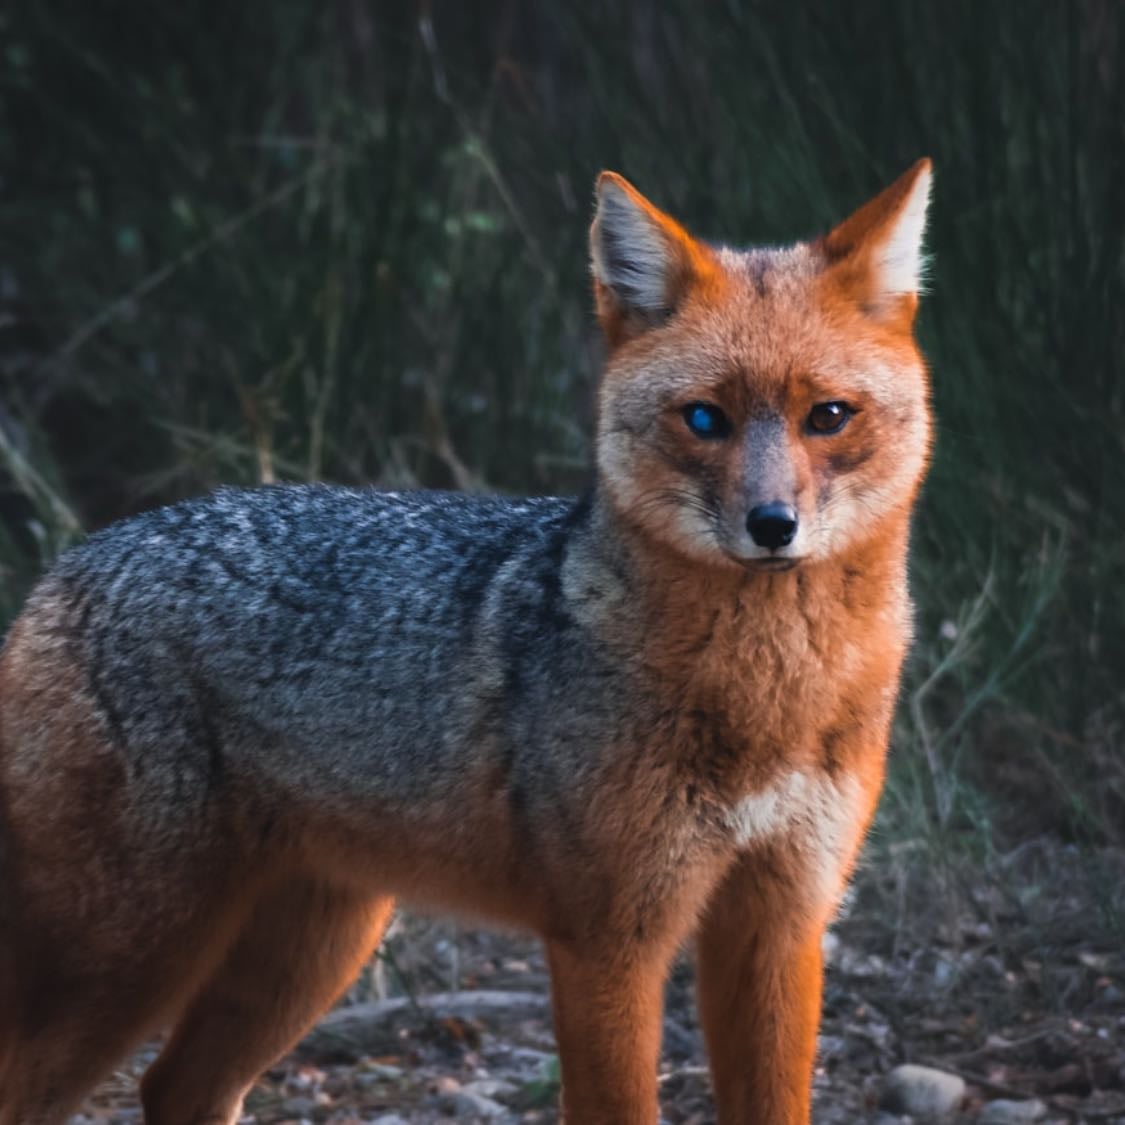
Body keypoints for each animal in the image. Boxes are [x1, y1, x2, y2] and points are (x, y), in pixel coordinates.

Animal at [0, 159, 933, 1125]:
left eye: (828, 416)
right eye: (705, 419)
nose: (771, 526)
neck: (765, 699)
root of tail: (66, 565)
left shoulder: (781, 924)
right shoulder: (608, 940)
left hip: (314, 946)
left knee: (175, 1083)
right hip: (129, 958)